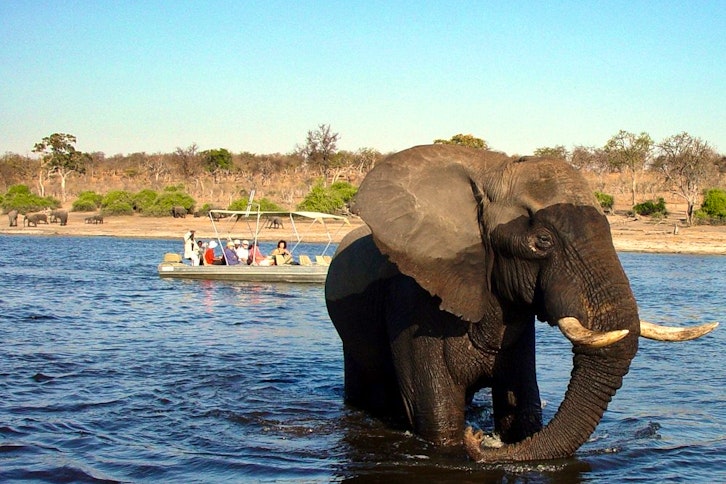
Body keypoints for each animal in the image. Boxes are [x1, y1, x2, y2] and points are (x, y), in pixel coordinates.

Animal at [325, 144, 718, 463]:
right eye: (542, 241)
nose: (478, 437)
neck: (491, 171)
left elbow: (524, 411)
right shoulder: (412, 302)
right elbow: (439, 423)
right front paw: (462, 438)